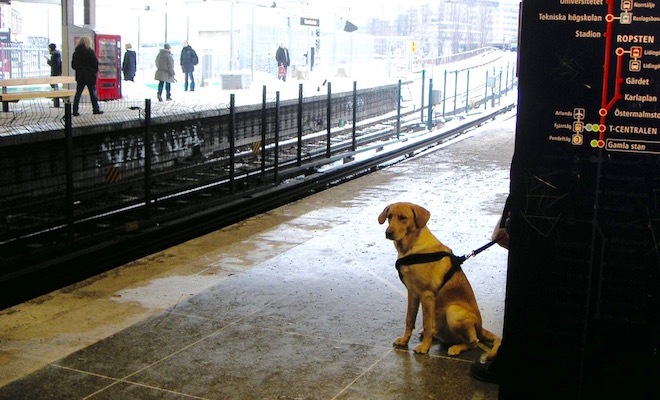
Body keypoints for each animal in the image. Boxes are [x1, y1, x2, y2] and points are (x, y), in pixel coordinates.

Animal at [376, 203, 500, 356]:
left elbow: (427, 324)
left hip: (453, 311)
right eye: (389, 216)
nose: (388, 233)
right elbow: (409, 320)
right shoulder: (412, 293)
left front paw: (424, 347)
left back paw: (456, 348)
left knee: (474, 342)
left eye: (403, 218)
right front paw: (405, 340)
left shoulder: (427, 295)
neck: (411, 248)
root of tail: (481, 328)